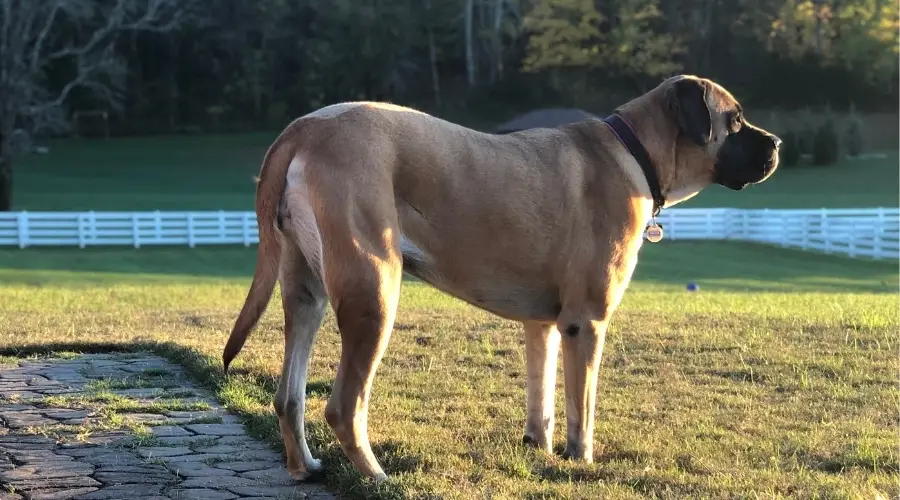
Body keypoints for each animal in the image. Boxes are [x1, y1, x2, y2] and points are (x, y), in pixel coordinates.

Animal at [220, 73, 780, 480]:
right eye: (735, 120)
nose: (777, 142)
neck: (635, 151)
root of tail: (303, 127)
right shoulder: (587, 321)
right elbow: (582, 407)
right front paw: (581, 460)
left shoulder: (545, 324)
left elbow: (543, 396)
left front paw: (539, 448)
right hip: (373, 290)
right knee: (342, 406)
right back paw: (376, 475)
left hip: (305, 290)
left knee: (289, 395)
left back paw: (304, 466)